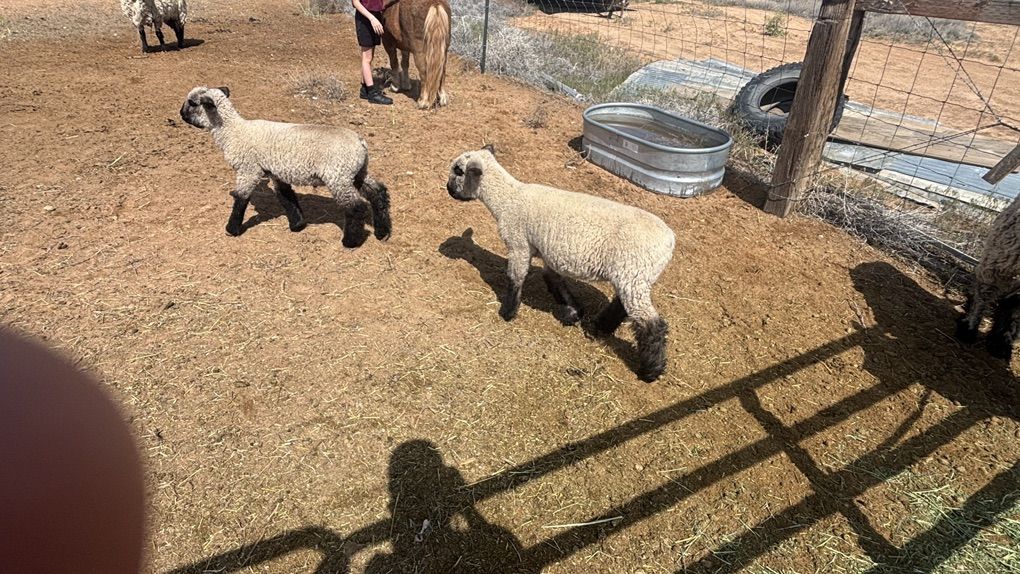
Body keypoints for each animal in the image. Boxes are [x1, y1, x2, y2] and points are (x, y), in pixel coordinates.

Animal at [179, 86, 391, 247]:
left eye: (193, 103)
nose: (180, 114)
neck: (232, 131)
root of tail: (361, 142)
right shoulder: (275, 172)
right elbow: (286, 196)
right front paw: (298, 225)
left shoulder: (248, 169)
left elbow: (240, 197)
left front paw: (231, 229)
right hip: (358, 172)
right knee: (378, 192)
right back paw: (383, 232)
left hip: (338, 175)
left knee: (356, 206)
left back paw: (350, 241)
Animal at [445, 145, 675, 382]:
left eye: (458, 171)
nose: (448, 190)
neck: (508, 200)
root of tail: (669, 241)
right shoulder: (549, 254)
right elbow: (554, 280)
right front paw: (573, 312)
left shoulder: (519, 244)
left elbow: (515, 278)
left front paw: (508, 313)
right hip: (632, 276)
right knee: (623, 305)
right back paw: (599, 327)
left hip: (635, 271)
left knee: (652, 323)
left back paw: (650, 371)